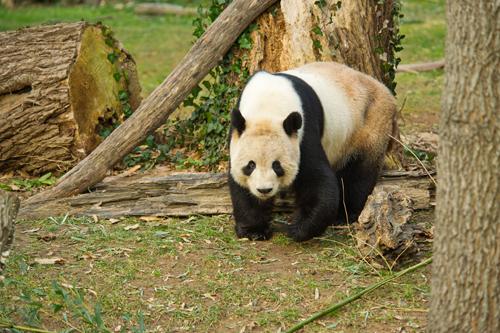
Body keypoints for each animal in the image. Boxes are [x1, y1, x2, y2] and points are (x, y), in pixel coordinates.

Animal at [229, 61, 396, 240]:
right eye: (250, 165)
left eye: (277, 165)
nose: (264, 190)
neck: (268, 107)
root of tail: (385, 91)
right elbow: (240, 186)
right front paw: (254, 230)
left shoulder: (304, 131)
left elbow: (317, 180)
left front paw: (298, 229)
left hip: (370, 124)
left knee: (359, 173)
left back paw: (344, 215)